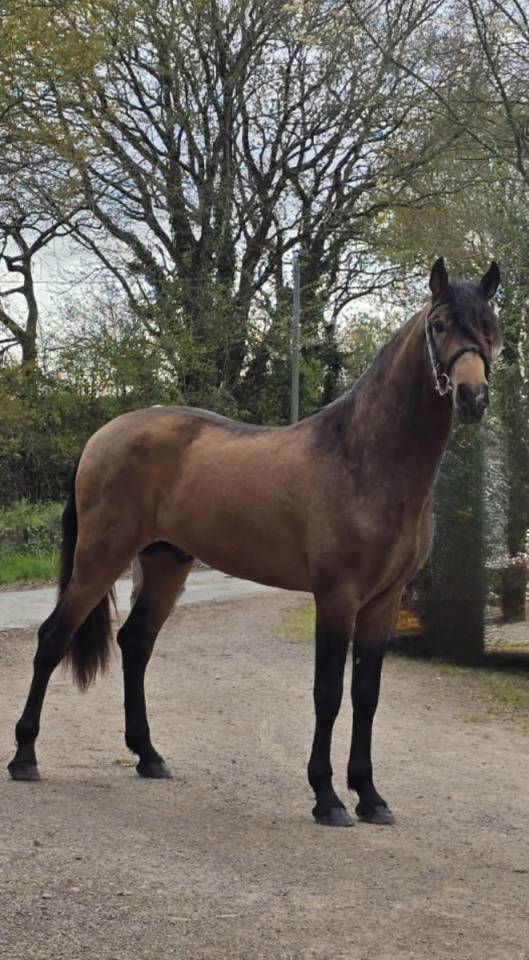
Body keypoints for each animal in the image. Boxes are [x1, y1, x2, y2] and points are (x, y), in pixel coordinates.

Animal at [8, 257, 501, 828]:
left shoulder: (384, 601)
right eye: (438, 325)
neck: (364, 459)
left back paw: (149, 756)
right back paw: (25, 757)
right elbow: (328, 692)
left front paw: (371, 796)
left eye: (490, 325)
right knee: (52, 639)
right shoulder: (337, 597)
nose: (472, 397)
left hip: (166, 564)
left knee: (135, 644)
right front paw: (327, 798)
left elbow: (367, 694)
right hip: (99, 559)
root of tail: (103, 434)